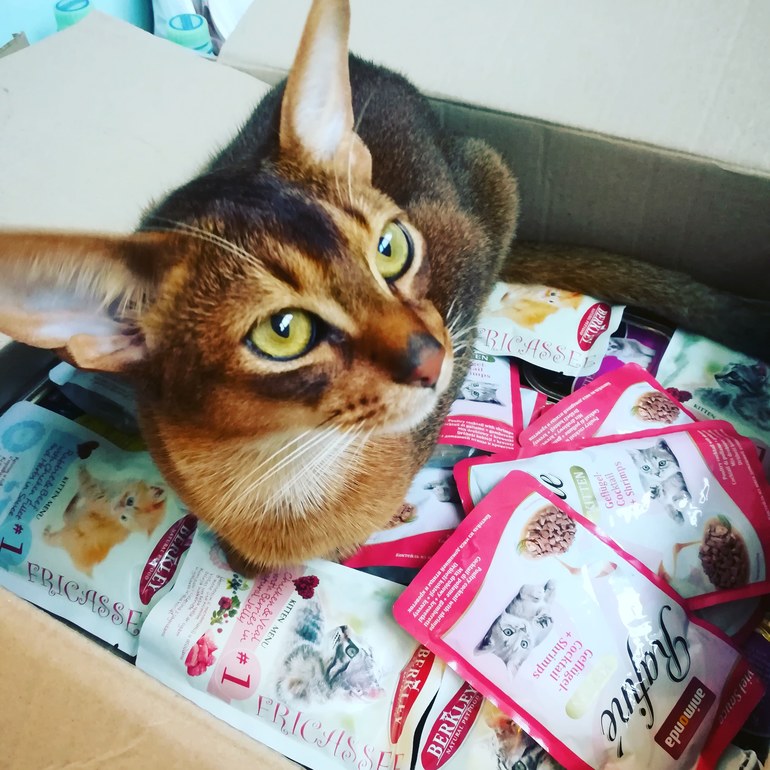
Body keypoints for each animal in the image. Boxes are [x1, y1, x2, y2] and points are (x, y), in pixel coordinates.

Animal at [1, 0, 769, 573]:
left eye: (392, 248)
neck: (280, 474)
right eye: (283, 332)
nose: (431, 357)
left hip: (494, 177)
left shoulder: (458, 263)